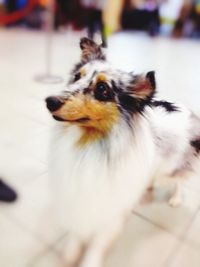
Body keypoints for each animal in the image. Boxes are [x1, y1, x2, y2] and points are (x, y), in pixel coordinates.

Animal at [45, 37, 200, 267]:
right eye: (76, 77)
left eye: (102, 89)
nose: (49, 101)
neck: (90, 142)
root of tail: (188, 110)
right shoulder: (78, 201)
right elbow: (76, 234)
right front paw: (70, 253)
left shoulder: (108, 212)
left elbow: (96, 245)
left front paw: (89, 261)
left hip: (171, 168)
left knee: (180, 181)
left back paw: (175, 199)